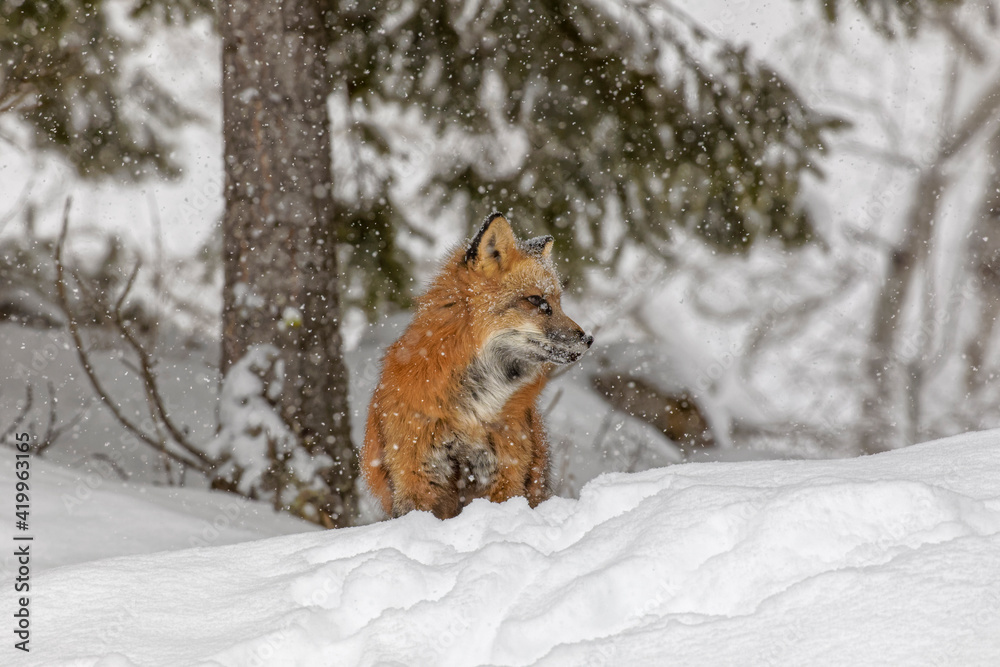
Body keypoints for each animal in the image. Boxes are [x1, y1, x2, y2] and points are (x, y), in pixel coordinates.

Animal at [362, 217, 588, 520]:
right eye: (536, 301)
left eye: (558, 303)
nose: (589, 339)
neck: (473, 407)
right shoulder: (414, 473)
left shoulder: (505, 470)